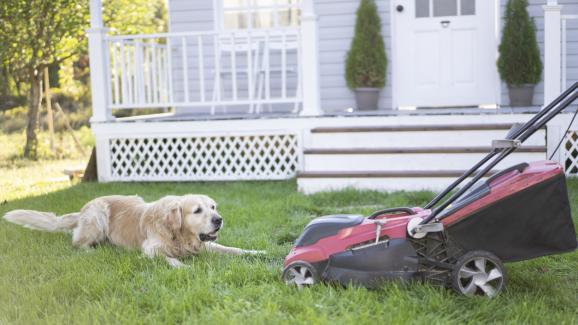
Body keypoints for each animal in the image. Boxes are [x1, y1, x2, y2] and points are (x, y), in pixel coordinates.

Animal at [2, 195, 262, 266]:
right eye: (197, 210)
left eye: (213, 207)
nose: (219, 220)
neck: (177, 234)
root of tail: (83, 208)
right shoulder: (150, 249)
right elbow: (170, 259)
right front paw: (183, 267)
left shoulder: (206, 244)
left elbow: (231, 249)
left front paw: (255, 253)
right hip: (97, 216)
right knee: (77, 244)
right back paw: (93, 251)